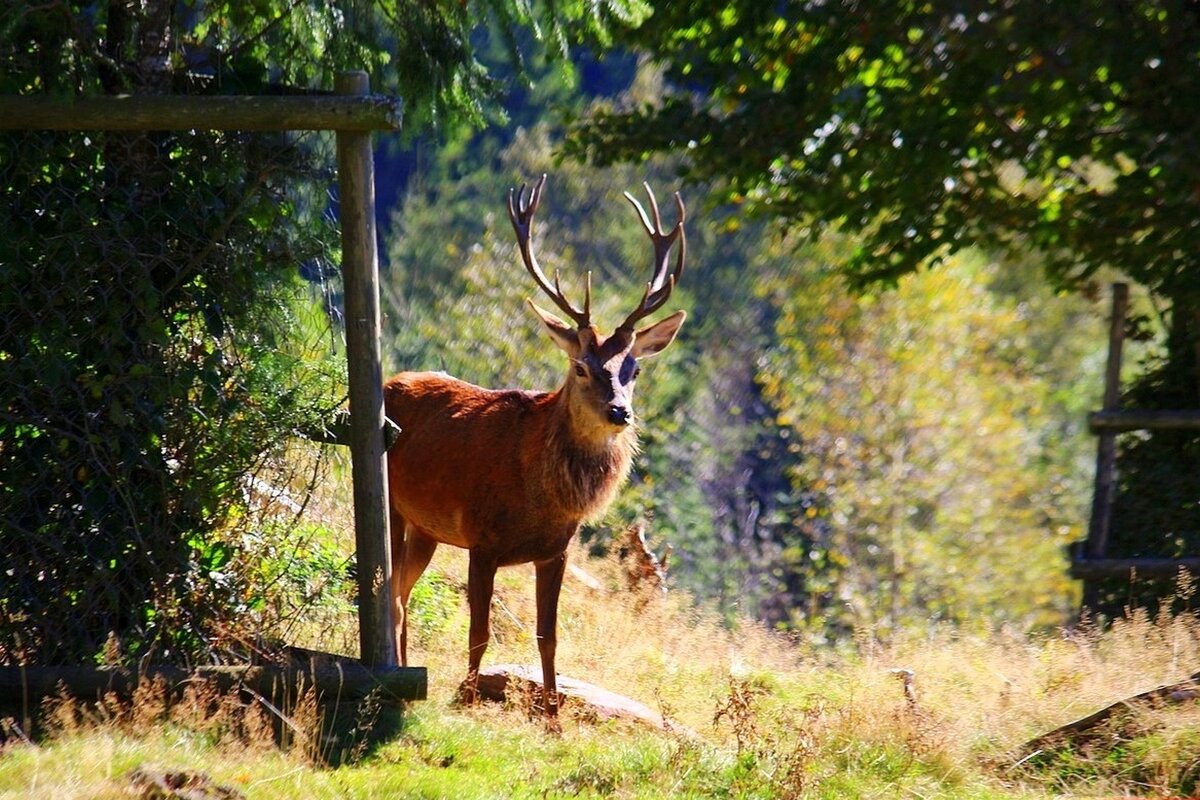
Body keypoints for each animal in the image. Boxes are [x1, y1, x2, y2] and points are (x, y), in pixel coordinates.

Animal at [384, 175, 686, 734]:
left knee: (402, 591)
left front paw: (553, 721)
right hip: (391, 503)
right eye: (582, 367)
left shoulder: (556, 550)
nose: (620, 411)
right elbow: (480, 629)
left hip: (427, 528)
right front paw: (466, 700)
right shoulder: (481, 539)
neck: (538, 497)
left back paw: (406, 668)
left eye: (633, 370)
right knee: (390, 590)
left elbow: (550, 637)